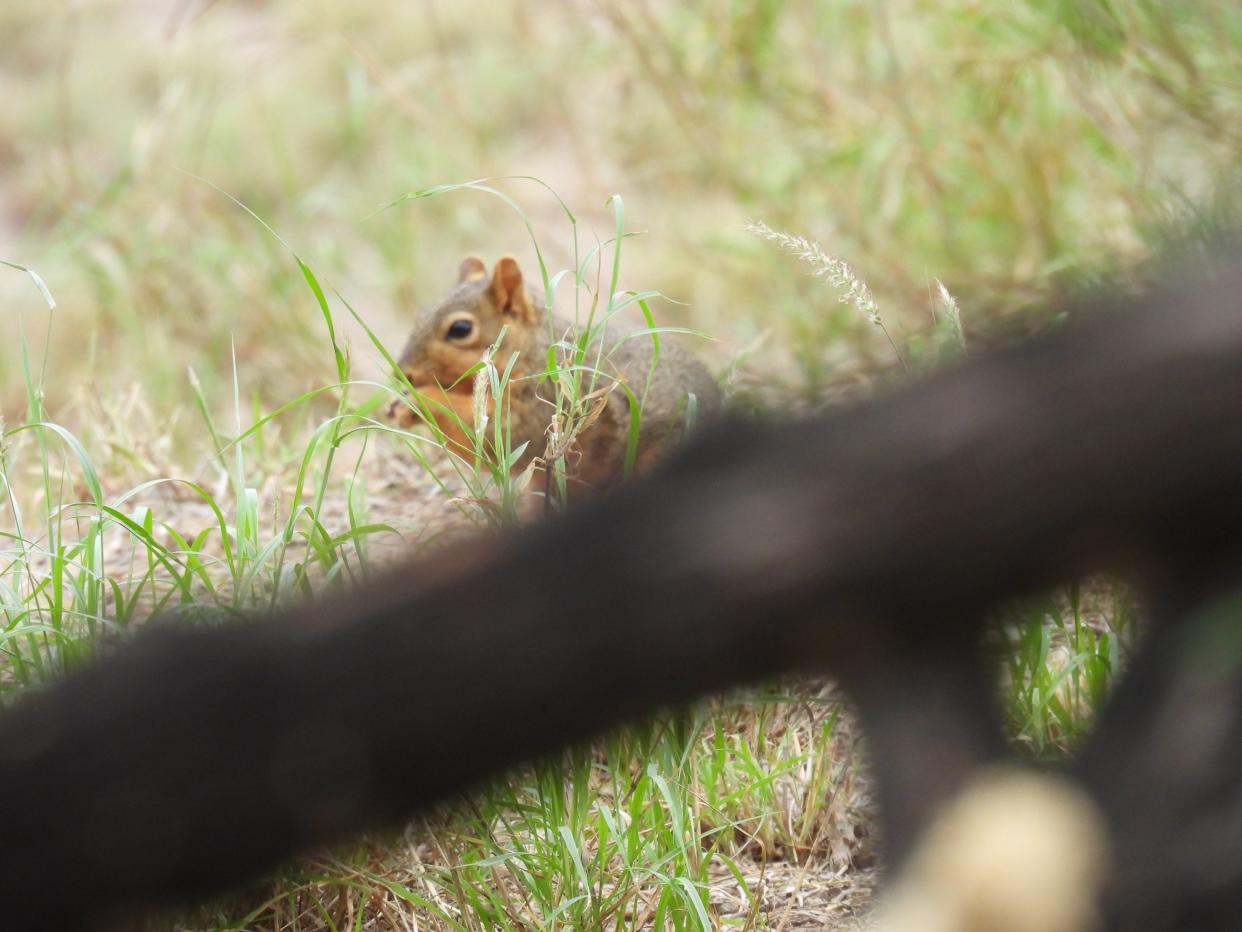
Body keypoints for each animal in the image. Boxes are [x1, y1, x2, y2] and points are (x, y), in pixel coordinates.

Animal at [385, 252, 720, 492]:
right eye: (422, 314)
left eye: (461, 329)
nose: (404, 375)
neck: (533, 352)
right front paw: (399, 406)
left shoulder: (547, 402)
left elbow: (496, 435)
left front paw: (421, 400)